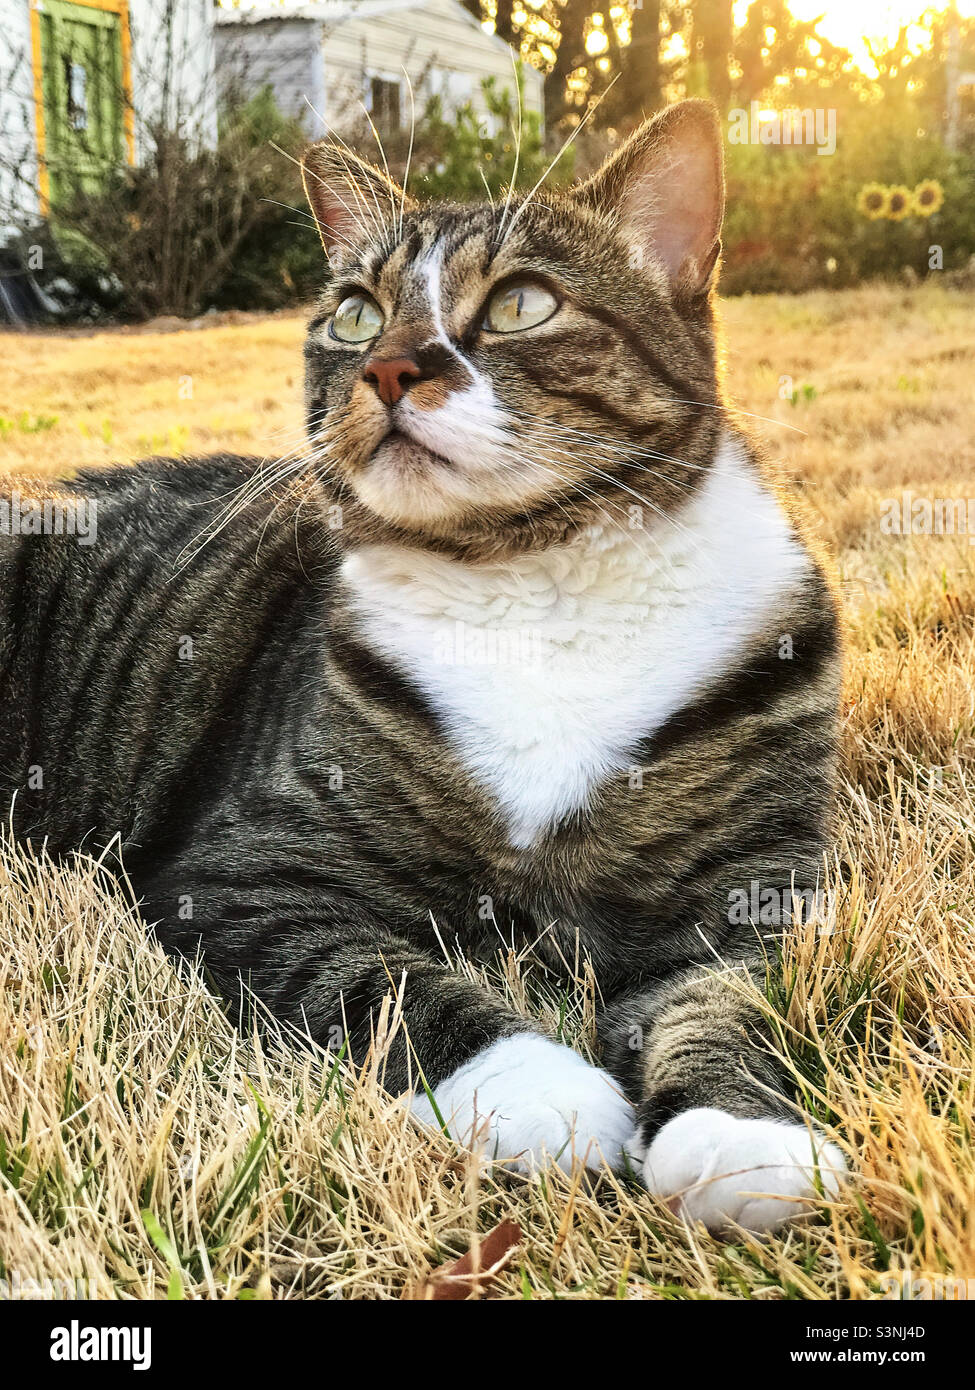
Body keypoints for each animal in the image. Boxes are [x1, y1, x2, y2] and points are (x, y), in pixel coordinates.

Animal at [1, 102, 845, 1234]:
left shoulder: (747, 891)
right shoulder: (250, 869)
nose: (389, 367)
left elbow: (725, 1002)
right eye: (356, 315)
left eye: (523, 302)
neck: (534, 583)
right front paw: (547, 1091)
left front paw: (743, 1134)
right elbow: (386, 981)